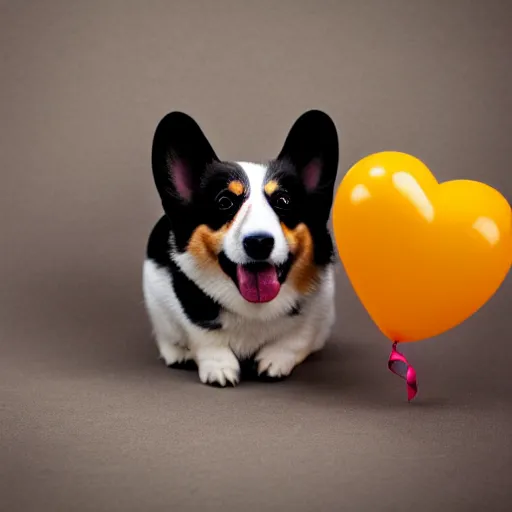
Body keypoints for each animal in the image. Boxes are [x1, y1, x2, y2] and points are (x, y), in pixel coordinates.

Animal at [142, 110, 338, 386]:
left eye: (283, 201)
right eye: (224, 202)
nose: (259, 242)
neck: (254, 310)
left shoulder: (320, 306)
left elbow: (296, 338)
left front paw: (274, 360)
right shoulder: (185, 306)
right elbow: (204, 337)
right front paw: (219, 368)